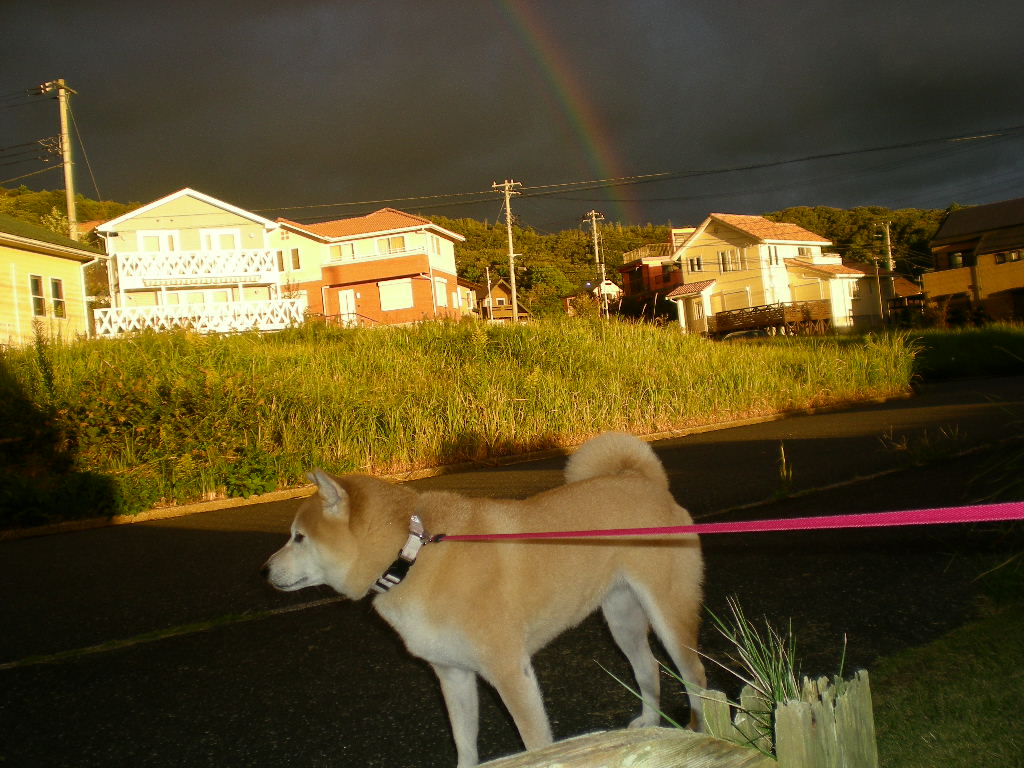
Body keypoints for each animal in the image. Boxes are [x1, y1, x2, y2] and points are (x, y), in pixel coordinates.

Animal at [264, 436, 704, 765]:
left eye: (298, 537)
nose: (265, 570)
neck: (413, 554)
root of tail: (648, 484)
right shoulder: (452, 673)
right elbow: (464, 741)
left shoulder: (510, 671)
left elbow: (535, 743)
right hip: (621, 616)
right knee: (647, 668)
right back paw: (650, 726)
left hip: (668, 612)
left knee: (695, 675)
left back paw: (701, 732)